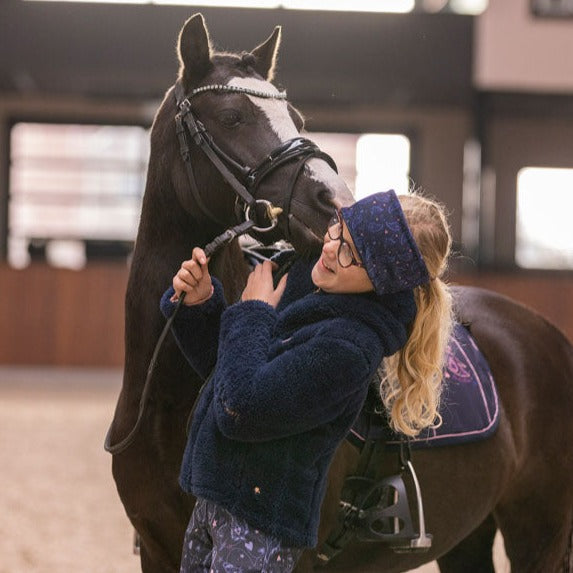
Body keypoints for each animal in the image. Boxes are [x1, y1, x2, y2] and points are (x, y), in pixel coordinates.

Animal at [107, 13, 572, 572]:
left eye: (296, 117)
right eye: (231, 116)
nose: (334, 200)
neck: (169, 397)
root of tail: (547, 336)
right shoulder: (157, 548)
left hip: (538, 531)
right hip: (470, 536)